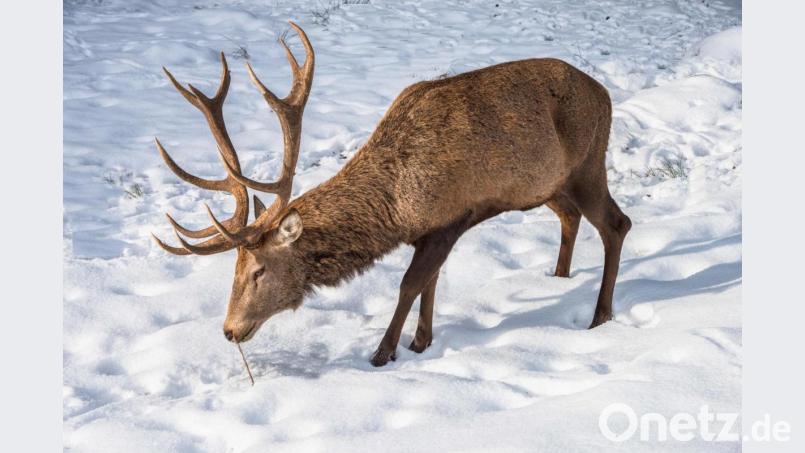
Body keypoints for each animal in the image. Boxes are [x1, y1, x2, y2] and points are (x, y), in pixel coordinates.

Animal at [152, 22, 631, 367]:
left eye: (258, 270)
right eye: (233, 271)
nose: (230, 330)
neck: (398, 207)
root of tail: (605, 93)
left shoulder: (449, 219)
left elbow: (410, 285)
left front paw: (383, 353)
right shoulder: (432, 232)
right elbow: (430, 284)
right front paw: (421, 342)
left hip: (588, 164)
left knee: (617, 223)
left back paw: (600, 315)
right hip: (550, 183)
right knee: (569, 217)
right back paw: (559, 277)